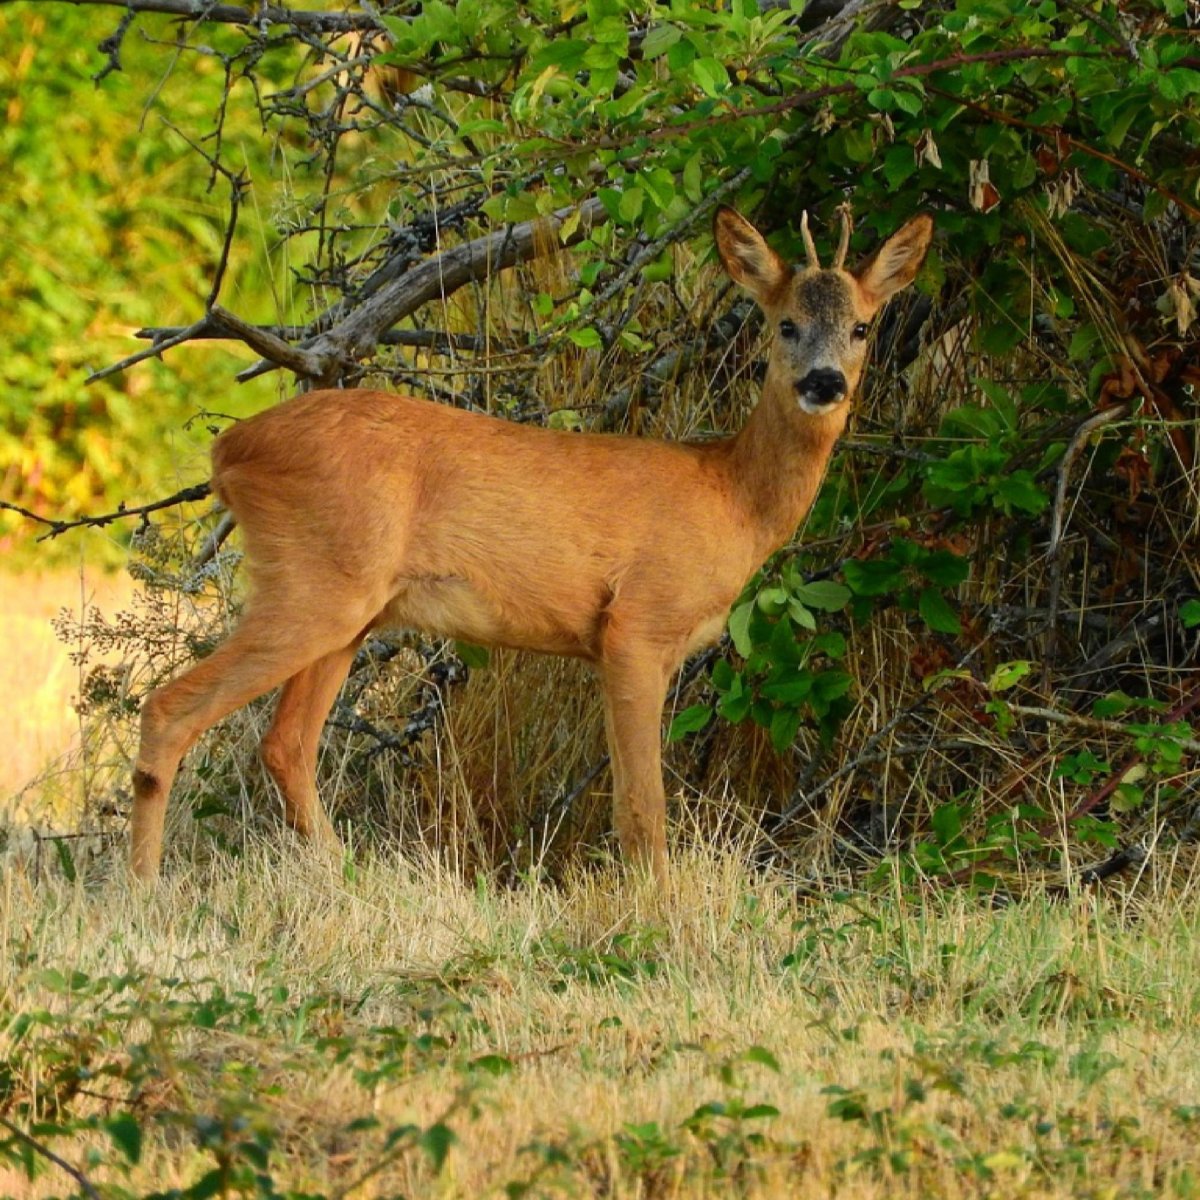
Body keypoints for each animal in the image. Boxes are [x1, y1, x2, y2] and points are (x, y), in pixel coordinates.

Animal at [133, 204, 936, 883]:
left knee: (286, 744)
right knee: (170, 709)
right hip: (314, 584)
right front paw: (659, 914)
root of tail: (229, 452)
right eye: (786, 323)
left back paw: (346, 879)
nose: (824, 383)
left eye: (863, 327)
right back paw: (144, 891)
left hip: (350, 609)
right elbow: (642, 808)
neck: (731, 497)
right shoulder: (636, 624)